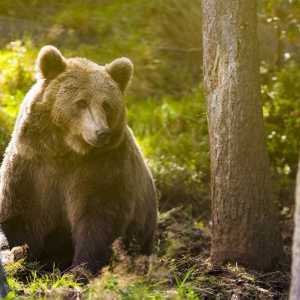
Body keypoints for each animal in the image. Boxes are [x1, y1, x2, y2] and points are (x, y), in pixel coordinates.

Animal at [0, 46, 158, 274]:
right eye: (81, 102)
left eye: (106, 104)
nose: (102, 132)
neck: (66, 150)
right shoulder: (30, 165)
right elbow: (20, 214)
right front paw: (22, 259)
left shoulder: (103, 168)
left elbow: (99, 220)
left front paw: (80, 270)